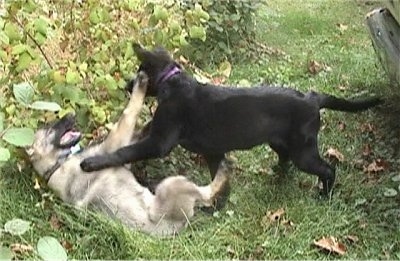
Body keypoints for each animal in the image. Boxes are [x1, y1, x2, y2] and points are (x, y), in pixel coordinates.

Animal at [81, 44, 382, 199]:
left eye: (139, 70)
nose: (127, 85)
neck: (173, 82)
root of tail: (312, 97)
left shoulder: (159, 141)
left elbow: (125, 151)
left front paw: (91, 163)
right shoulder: (212, 151)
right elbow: (217, 176)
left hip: (303, 151)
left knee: (328, 169)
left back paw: (324, 194)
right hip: (280, 143)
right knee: (286, 160)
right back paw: (277, 175)